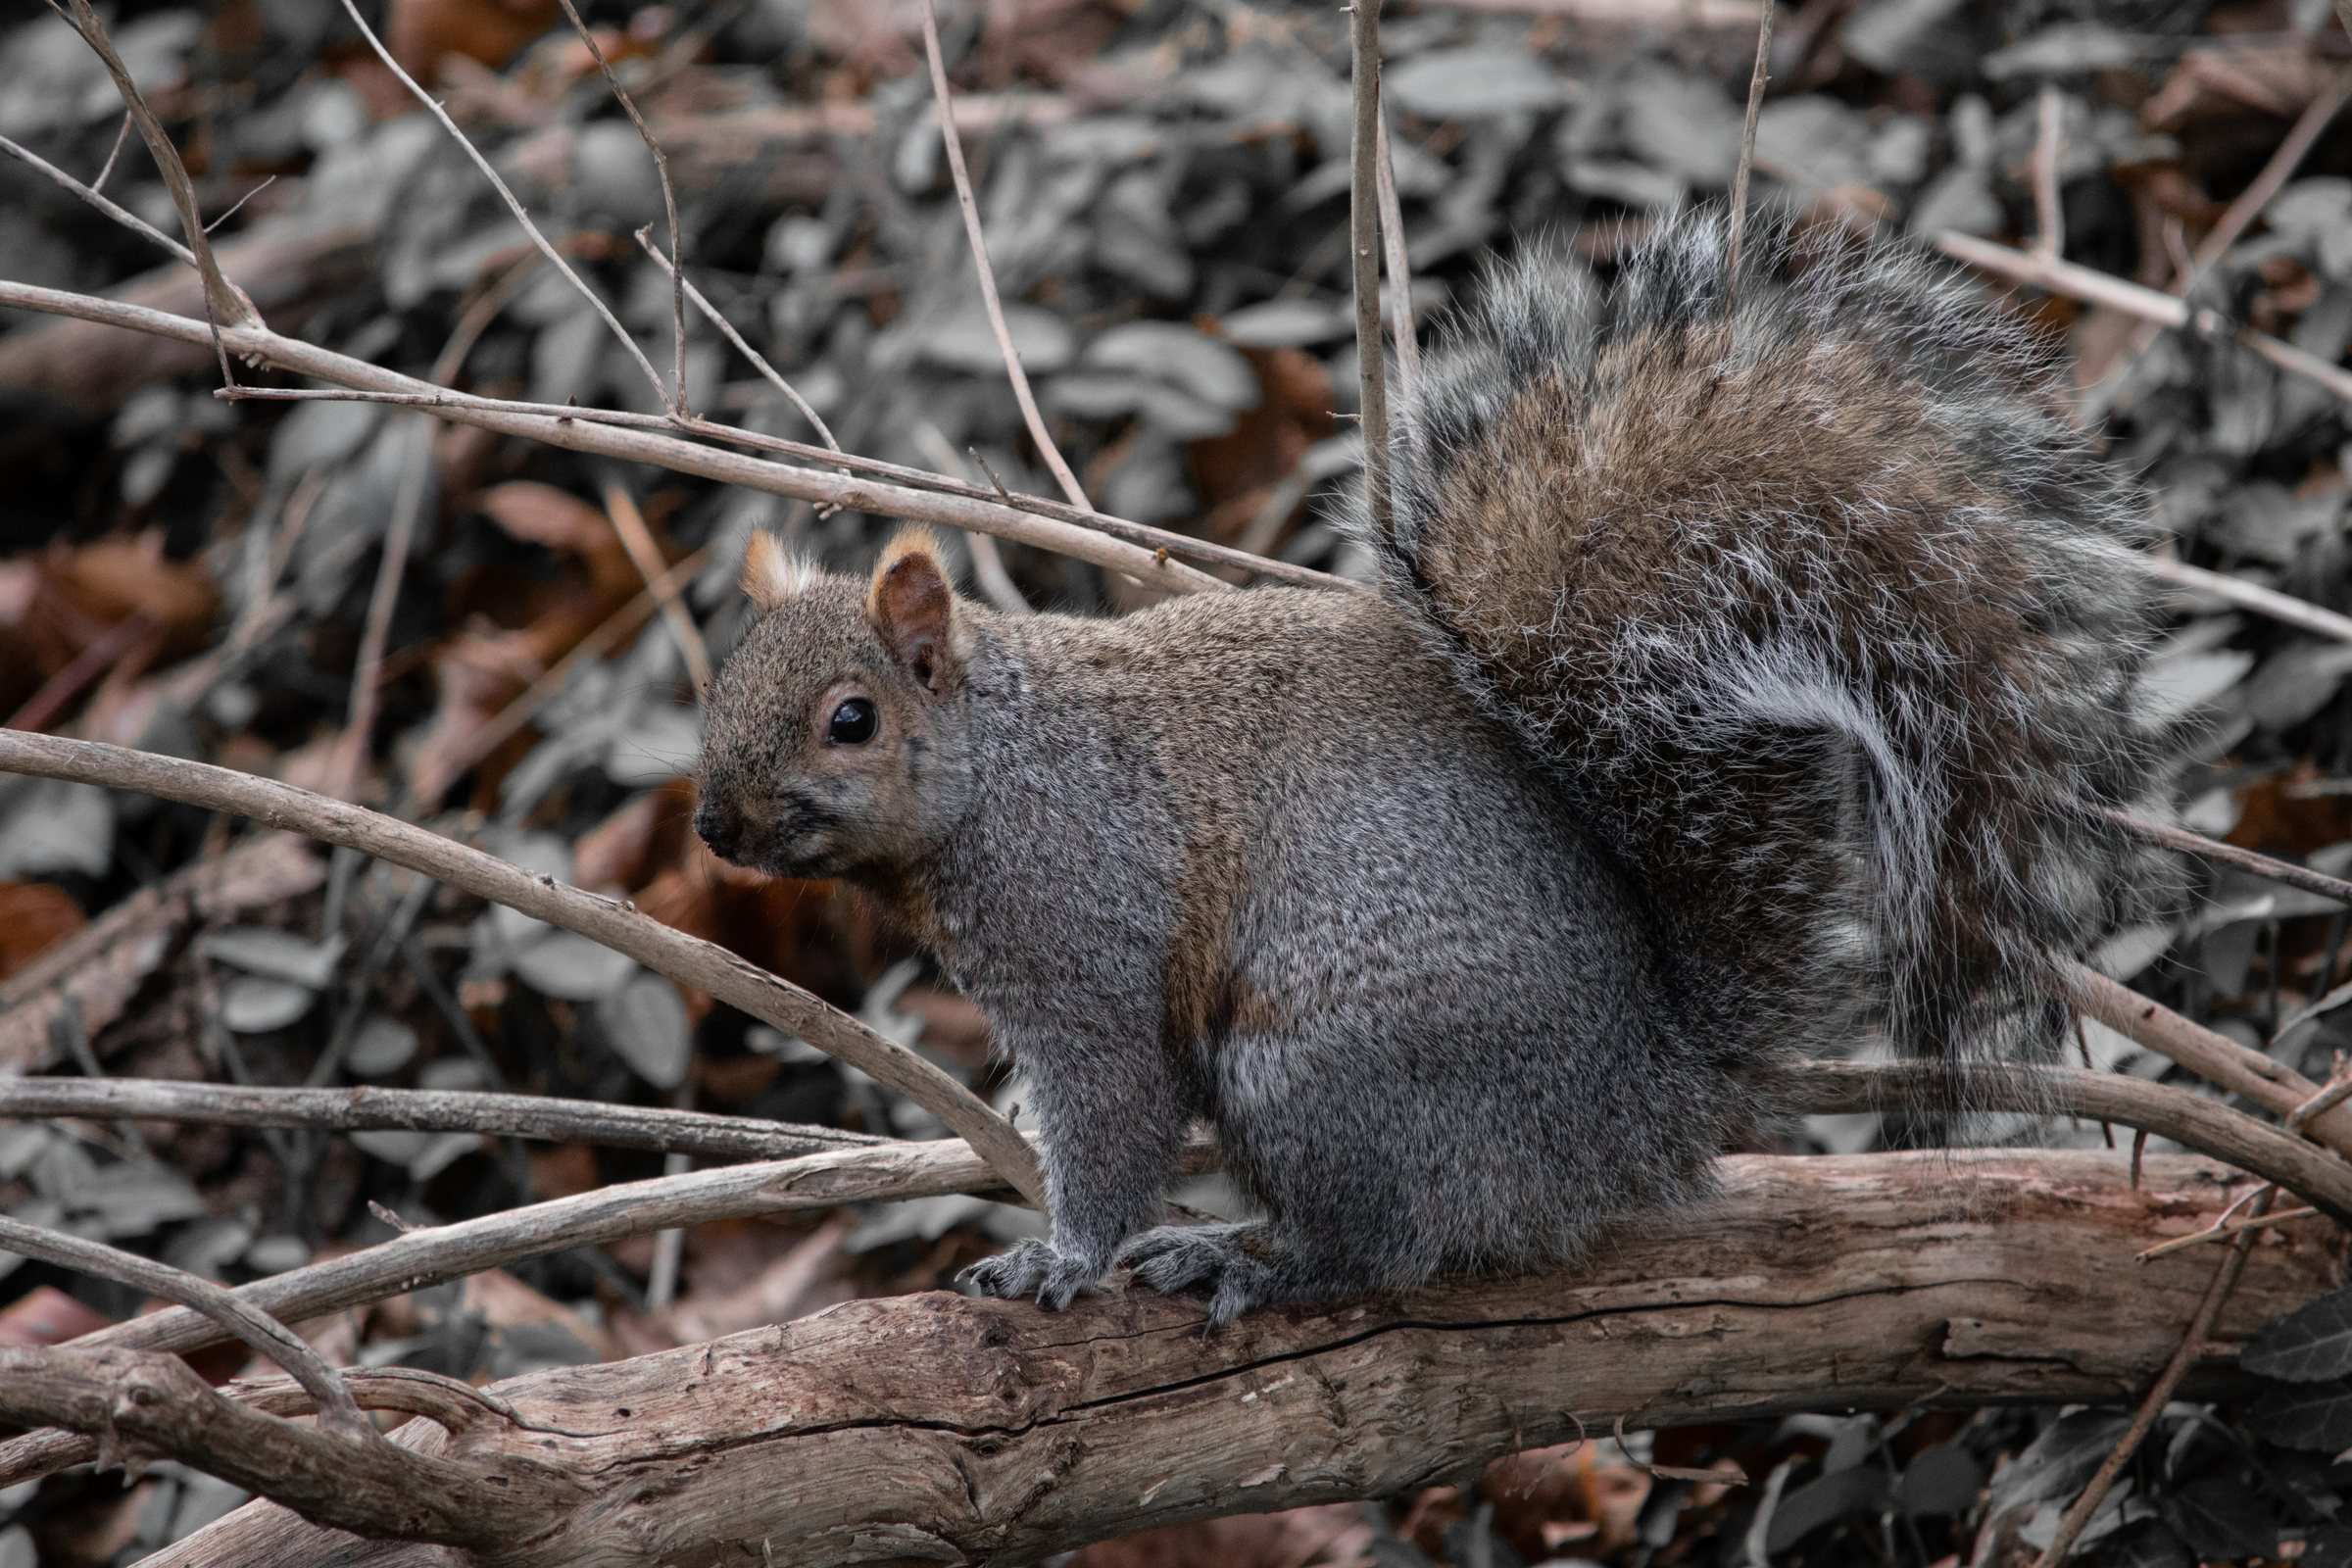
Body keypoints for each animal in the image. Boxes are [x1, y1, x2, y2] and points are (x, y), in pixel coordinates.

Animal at [693, 207, 2163, 1324]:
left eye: (848, 720)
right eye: (718, 681)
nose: (712, 828)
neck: (999, 771)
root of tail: (1638, 1117)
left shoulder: (1085, 935)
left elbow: (1110, 1113)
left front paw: (1061, 1260)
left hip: (1320, 1074)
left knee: (1385, 1248)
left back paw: (1253, 1261)